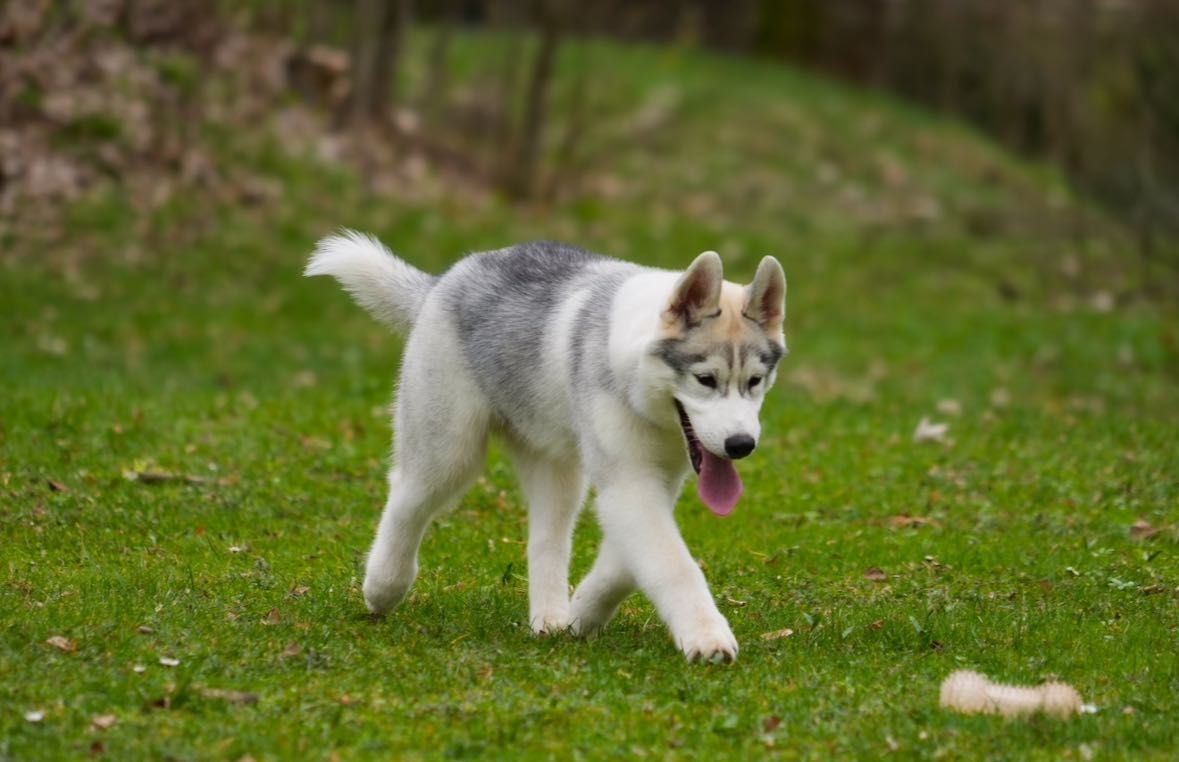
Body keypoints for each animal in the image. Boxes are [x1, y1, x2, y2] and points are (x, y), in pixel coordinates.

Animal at [304, 232, 787, 660]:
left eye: (755, 382)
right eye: (705, 380)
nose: (741, 445)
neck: (634, 374)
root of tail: (451, 275)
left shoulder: (650, 487)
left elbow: (626, 566)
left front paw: (584, 614)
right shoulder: (629, 486)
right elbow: (674, 564)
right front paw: (707, 636)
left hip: (558, 470)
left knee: (546, 541)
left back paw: (551, 619)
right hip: (448, 452)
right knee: (406, 499)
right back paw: (383, 586)